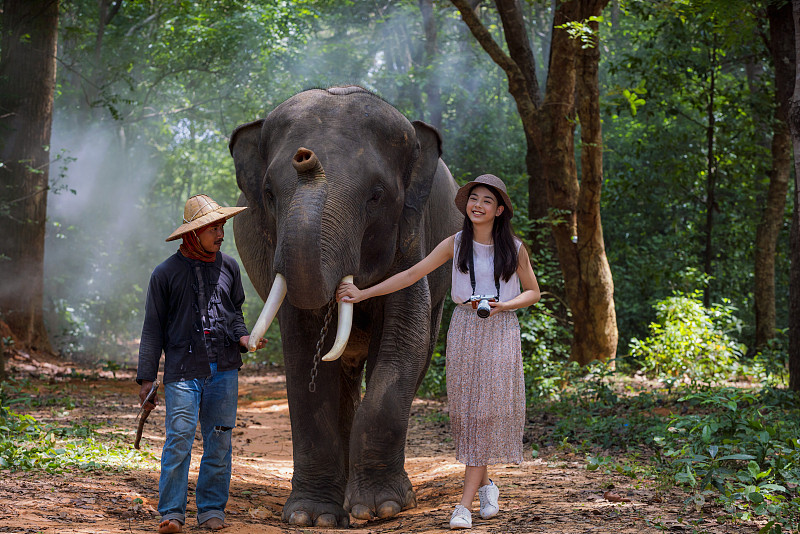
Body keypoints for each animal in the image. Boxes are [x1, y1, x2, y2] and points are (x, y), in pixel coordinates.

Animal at [225, 86, 462, 528]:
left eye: (376, 196)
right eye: (268, 194)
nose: (305, 157)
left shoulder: (412, 240)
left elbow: (406, 335)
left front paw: (380, 508)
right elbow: (304, 351)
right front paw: (312, 517)